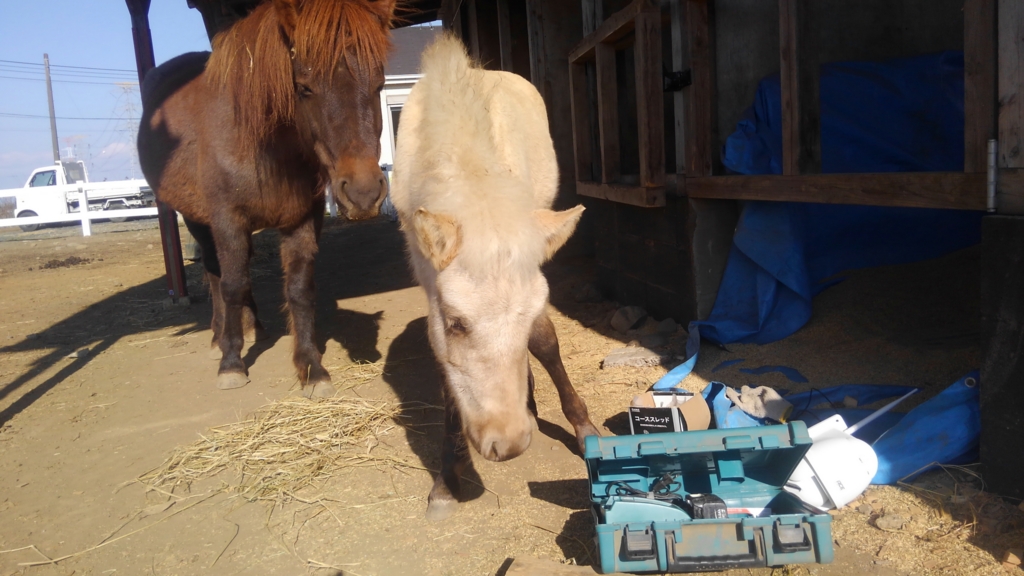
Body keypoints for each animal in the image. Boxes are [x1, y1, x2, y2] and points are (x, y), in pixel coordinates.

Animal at [138, 0, 396, 398]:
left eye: (379, 84)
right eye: (304, 88)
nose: (364, 193)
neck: (263, 143)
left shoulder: (302, 219)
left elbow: (300, 289)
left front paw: (311, 368)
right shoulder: (228, 219)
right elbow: (231, 285)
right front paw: (231, 364)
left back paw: (252, 328)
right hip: (197, 218)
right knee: (215, 272)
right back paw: (219, 338)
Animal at [390, 35, 601, 521]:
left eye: (524, 323)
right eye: (456, 324)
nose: (508, 444)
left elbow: (545, 343)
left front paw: (583, 428)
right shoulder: (430, 288)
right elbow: (447, 375)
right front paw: (445, 481)